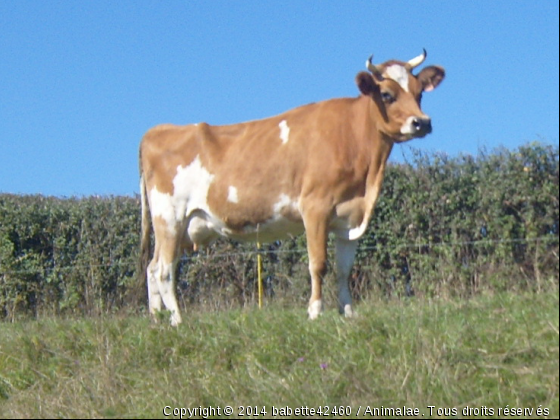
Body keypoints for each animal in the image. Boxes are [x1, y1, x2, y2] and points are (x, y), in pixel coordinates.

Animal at [138, 49, 444, 324]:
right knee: (164, 270)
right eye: (387, 95)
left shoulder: (350, 217)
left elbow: (344, 270)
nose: (422, 122)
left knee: (152, 268)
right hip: (170, 217)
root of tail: (159, 130)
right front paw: (315, 312)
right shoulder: (315, 207)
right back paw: (178, 320)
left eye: (419, 93)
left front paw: (348, 313)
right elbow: (318, 264)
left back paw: (156, 320)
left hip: (178, 227)